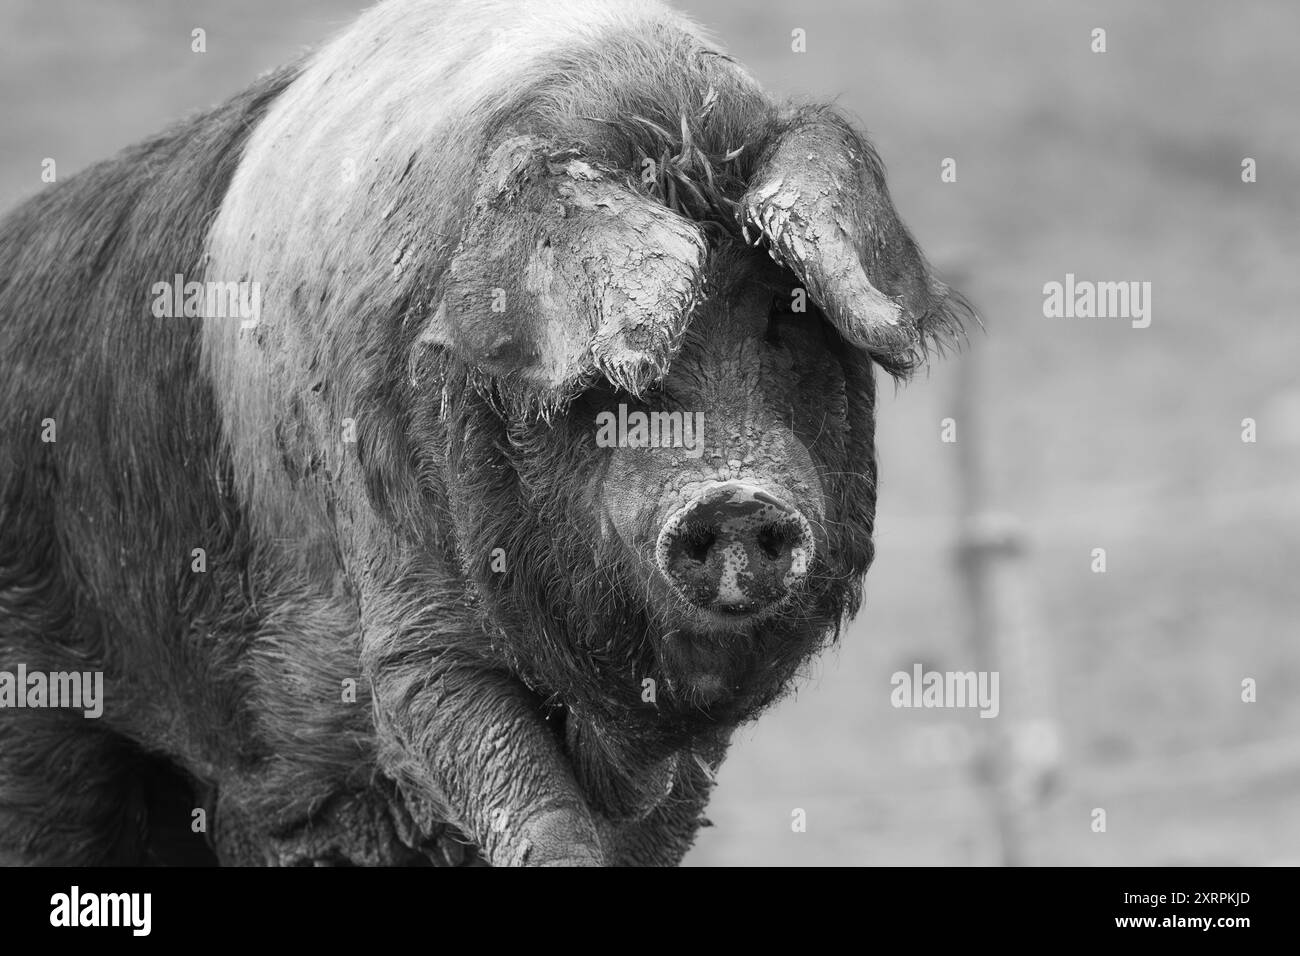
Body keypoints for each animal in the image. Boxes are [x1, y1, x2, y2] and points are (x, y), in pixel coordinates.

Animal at [0, 0, 967, 868]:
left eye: (782, 317)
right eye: (612, 376)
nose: (731, 496)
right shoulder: (406, 622)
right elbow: (513, 787)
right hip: (37, 705)